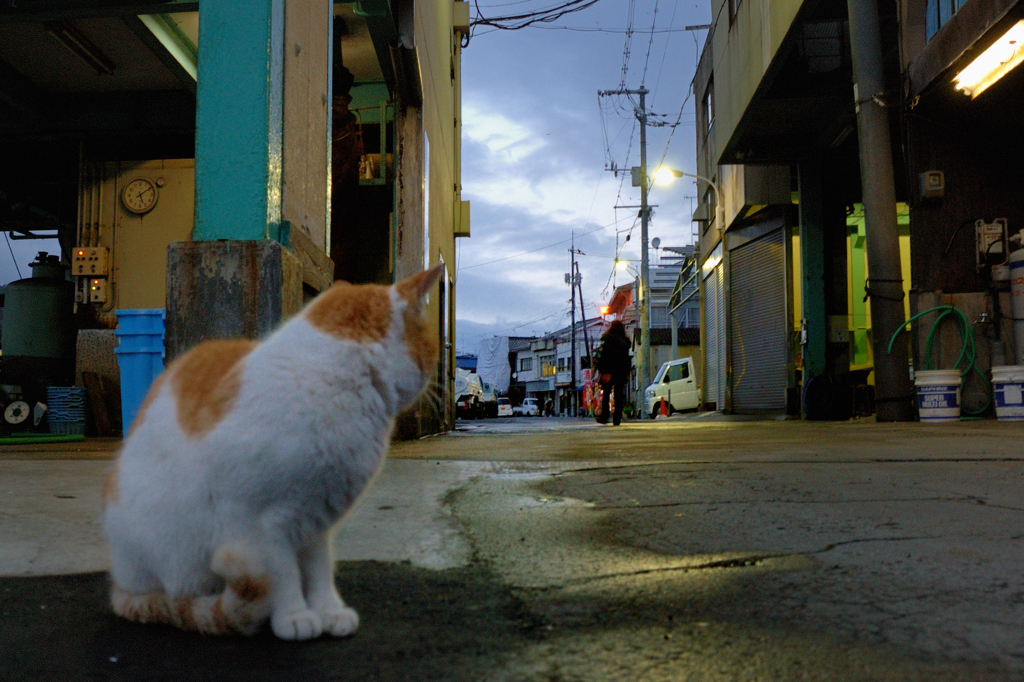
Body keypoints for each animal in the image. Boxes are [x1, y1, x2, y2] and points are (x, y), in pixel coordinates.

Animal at [101, 264, 446, 638]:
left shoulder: (317, 521)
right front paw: (294, 615)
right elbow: (283, 574)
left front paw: (329, 610)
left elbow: (319, 571)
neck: (334, 381)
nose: (434, 379)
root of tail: (120, 583)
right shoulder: (257, 525)